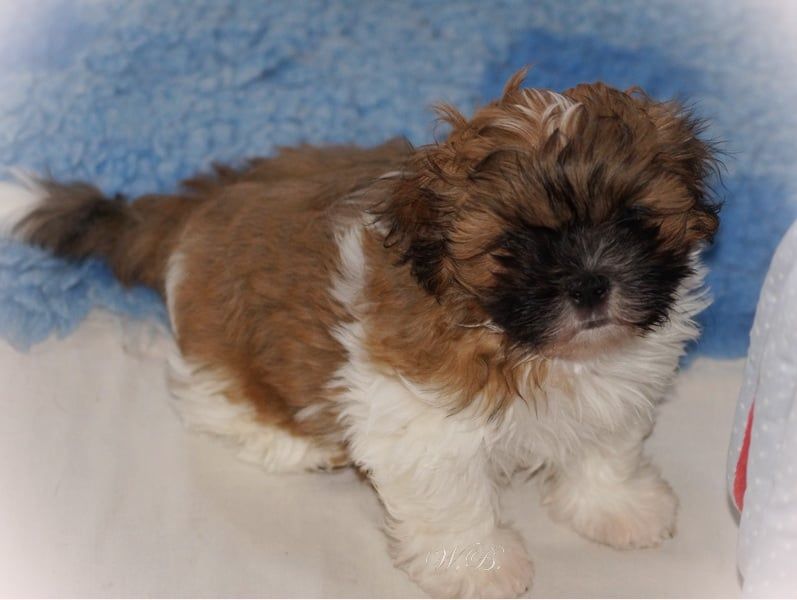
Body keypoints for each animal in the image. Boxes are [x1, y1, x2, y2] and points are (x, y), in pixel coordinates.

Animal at [0, 69, 719, 597]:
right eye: (513, 246)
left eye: (633, 221)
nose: (592, 284)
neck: (524, 342)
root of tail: (195, 210)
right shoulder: (419, 417)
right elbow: (452, 495)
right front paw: (476, 564)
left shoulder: (620, 381)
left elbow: (607, 443)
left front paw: (616, 505)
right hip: (224, 347)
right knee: (212, 395)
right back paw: (290, 440)